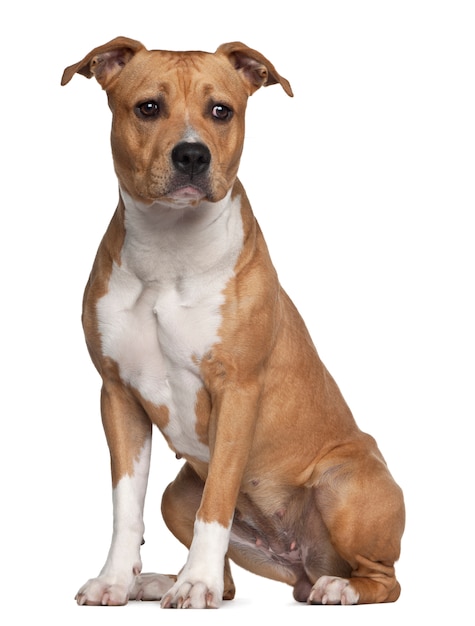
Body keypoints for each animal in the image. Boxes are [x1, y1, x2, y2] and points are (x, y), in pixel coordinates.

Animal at [62, 36, 406, 608]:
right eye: (148, 107)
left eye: (221, 110)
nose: (192, 154)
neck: (170, 251)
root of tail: (299, 561)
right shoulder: (118, 394)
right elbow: (125, 506)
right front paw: (115, 580)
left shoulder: (237, 391)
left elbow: (218, 499)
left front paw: (195, 583)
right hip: (176, 494)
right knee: (226, 571)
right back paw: (163, 580)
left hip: (343, 483)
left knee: (385, 578)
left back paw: (338, 587)